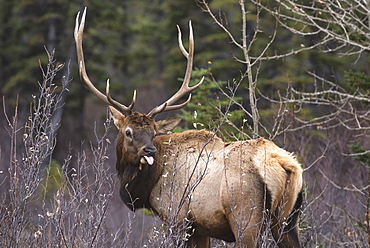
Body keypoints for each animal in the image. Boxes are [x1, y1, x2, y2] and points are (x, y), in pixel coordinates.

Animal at [73, 8, 302, 248]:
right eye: (129, 132)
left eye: (153, 133)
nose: (149, 151)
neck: (147, 186)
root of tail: (287, 165)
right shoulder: (201, 228)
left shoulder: (177, 218)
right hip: (287, 221)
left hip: (246, 218)